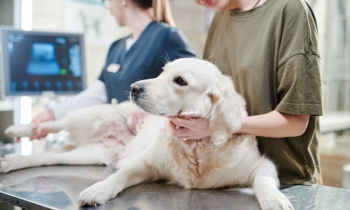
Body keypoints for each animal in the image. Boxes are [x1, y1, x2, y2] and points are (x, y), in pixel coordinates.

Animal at [2, 57, 292, 210]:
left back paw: (11, 161)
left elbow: (264, 180)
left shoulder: (260, 164)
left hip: (87, 154)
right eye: (162, 72)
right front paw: (98, 190)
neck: (195, 147)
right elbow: (118, 176)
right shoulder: (145, 162)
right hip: (88, 116)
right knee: (55, 123)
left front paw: (274, 199)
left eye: (180, 81)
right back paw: (21, 128)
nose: (133, 87)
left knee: (46, 156)